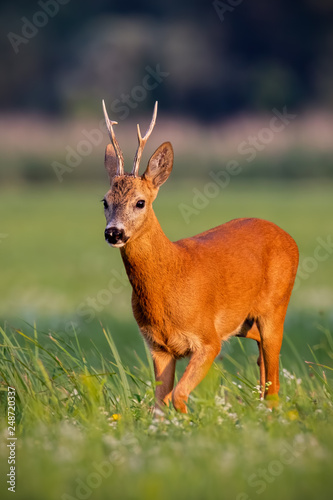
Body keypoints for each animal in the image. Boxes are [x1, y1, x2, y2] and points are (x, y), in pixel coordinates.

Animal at [100, 99, 298, 412]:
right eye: (105, 201)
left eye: (140, 202)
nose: (114, 233)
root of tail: (289, 238)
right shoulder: (158, 346)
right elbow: (159, 404)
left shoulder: (207, 339)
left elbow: (179, 395)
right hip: (244, 321)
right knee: (263, 365)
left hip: (276, 306)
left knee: (275, 384)